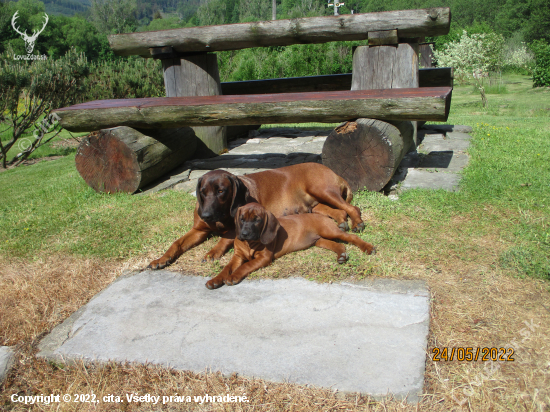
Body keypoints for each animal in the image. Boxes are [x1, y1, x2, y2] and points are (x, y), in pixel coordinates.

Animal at [149, 163, 366, 268]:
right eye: (202, 191)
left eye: (221, 191)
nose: (207, 214)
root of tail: (334, 172)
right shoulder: (199, 229)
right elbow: (177, 243)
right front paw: (161, 259)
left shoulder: (235, 229)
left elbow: (224, 239)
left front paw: (212, 252)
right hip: (315, 205)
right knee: (339, 211)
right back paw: (342, 223)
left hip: (321, 189)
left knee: (353, 208)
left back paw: (357, 223)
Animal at [205, 204, 378, 290]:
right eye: (241, 219)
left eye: (257, 220)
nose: (245, 233)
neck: (249, 244)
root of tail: (320, 215)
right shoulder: (238, 256)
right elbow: (226, 267)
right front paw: (216, 280)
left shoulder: (264, 258)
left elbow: (245, 266)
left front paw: (233, 277)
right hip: (318, 240)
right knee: (335, 244)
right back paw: (341, 255)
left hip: (329, 231)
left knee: (350, 237)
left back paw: (368, 248)